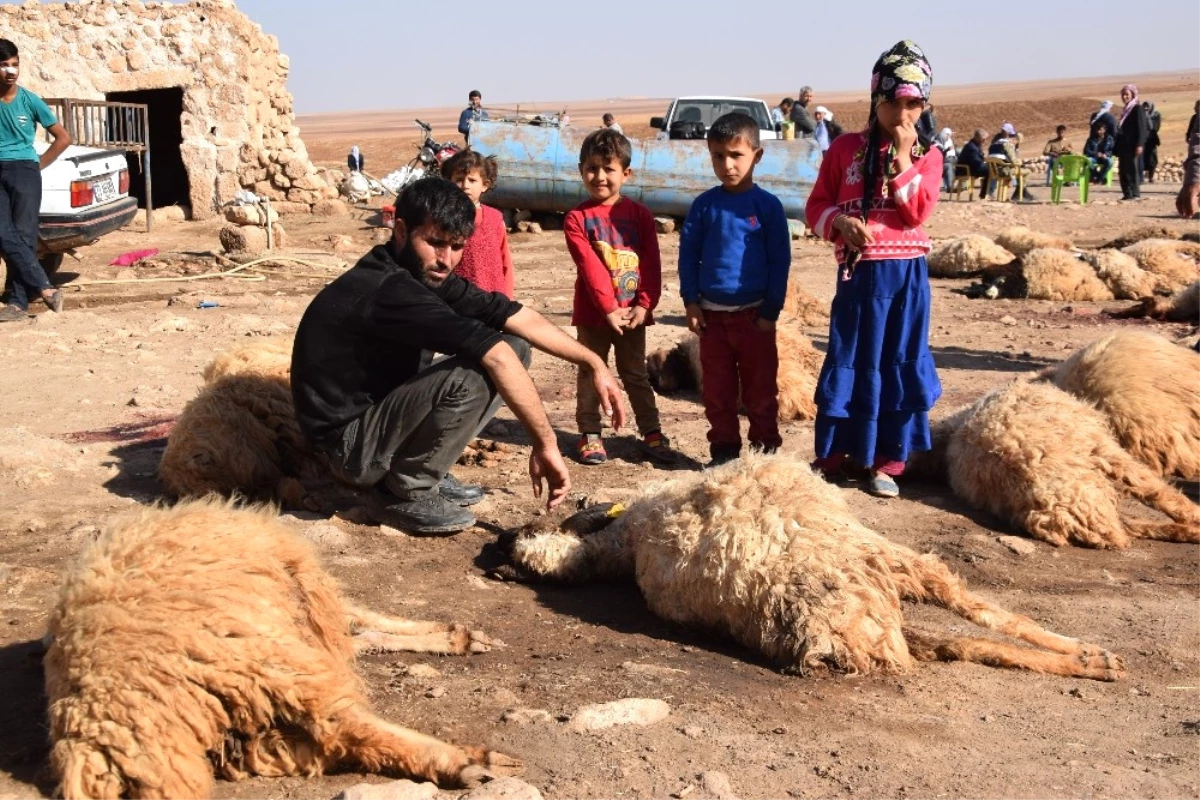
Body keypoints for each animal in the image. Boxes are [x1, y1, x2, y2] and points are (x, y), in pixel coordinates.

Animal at [45, 501, 516, 800]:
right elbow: (358, 627)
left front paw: (453, 637)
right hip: (264, 658)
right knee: (345, 722)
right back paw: (465, 760)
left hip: (263, 709)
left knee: (342, 721)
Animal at [504, 455, 1123, 681]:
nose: (516, 536)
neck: (625, 541)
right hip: (869, 578)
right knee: (964, 629)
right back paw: (1092, 661)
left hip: (873, 564)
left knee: (972, 615)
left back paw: (1092, 656)